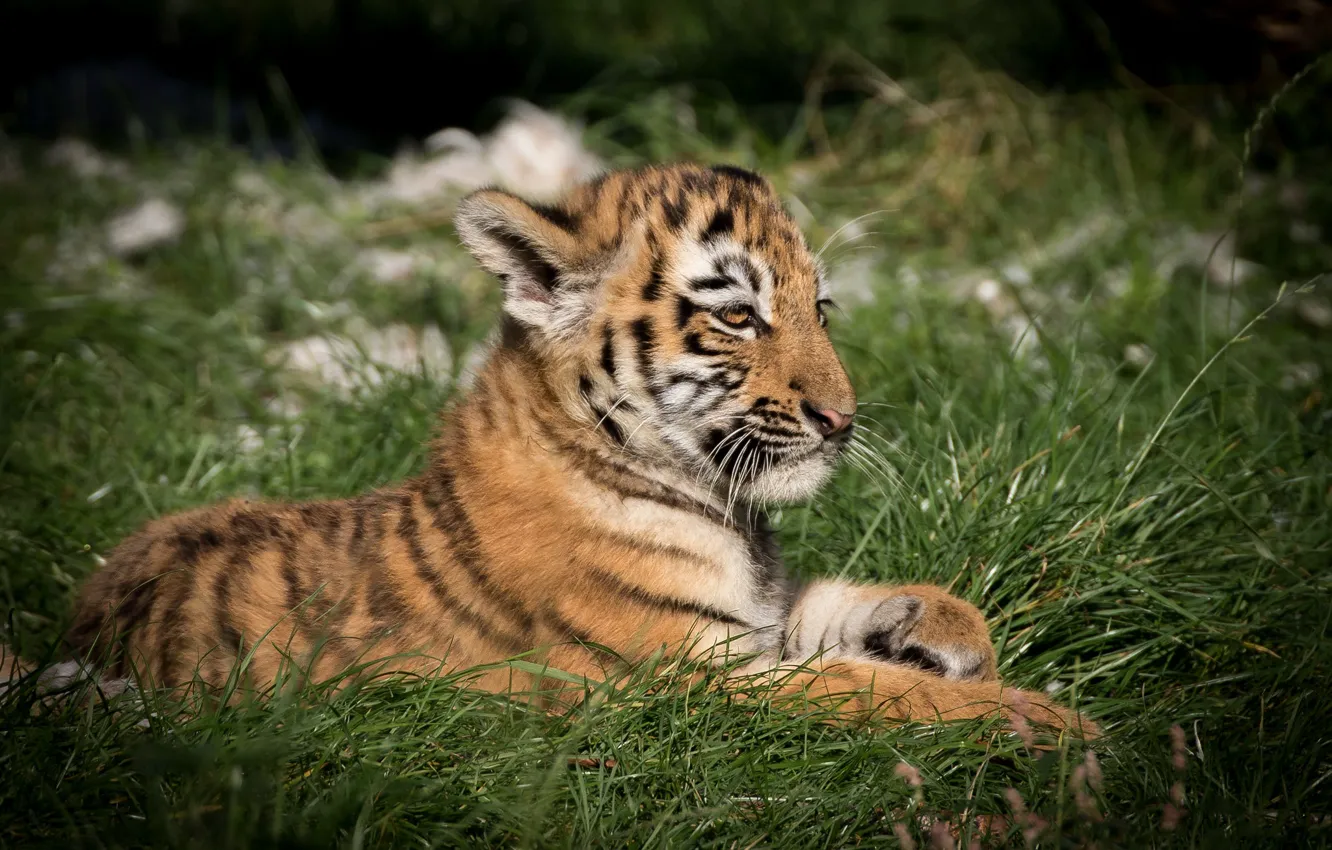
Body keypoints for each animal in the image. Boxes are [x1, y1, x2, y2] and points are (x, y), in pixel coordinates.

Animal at [20, 163, 1093, 736]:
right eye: (738, 315)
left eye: (819, 309)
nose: (842, 418)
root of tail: (77, 625)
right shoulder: (689, 678)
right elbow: (870, 692)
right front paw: (1056, 725)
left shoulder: (755, 624)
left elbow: (857, 608)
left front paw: (950, 638)